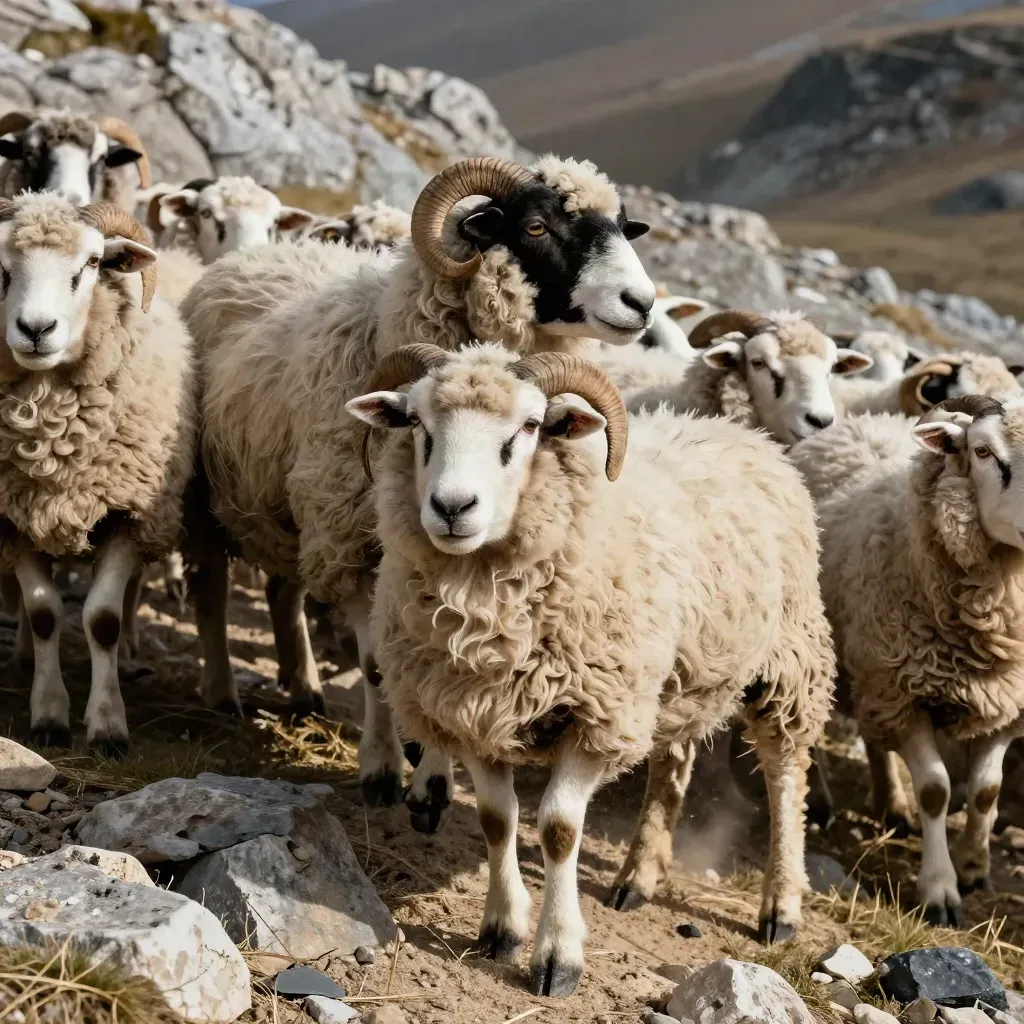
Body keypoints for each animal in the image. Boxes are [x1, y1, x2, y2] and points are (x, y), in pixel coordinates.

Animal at [0, 194, 196, 752]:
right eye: (1, 269)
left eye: (89, 264)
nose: (36, 330)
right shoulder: (13, 516)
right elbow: (44, 614)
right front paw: (48, 715)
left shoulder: (129, 512)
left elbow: (102, 618)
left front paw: (108, 724)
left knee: (130, 596)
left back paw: (128, 654)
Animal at [181, 154, 657, 827]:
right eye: (536, 227)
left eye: (620, 226)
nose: (641, 303)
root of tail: (253, 255)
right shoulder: (359, 545)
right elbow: (379, 665)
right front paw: (390, 770)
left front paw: (428, 774)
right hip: (211, 496)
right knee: (212, 590)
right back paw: (222, 691)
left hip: (289, 507)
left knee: (283, 588)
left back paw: (303, 688)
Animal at [347, 342, 835, 995]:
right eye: (419, 424)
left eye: (529, 427)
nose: (452, 507)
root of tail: (742, 432)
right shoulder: (474, 711)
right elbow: (498, 820)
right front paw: (501, 928)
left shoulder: (595, 716)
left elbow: (558, 829)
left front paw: (558, 955)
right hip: (675, 676)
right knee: (673, 764)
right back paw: (638, 876)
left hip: (789, 657)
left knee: (785, 778)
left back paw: (780, 906)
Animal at [816, 395, 1024, 926]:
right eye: (982, 451)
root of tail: (862, 420)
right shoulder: (905, 697)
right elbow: (935, 790)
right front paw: (940, 890)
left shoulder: (1006, 703)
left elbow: (987, 790)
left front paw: (973, 867)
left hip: (871, 671)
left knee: (874, 740)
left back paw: (892, 805)